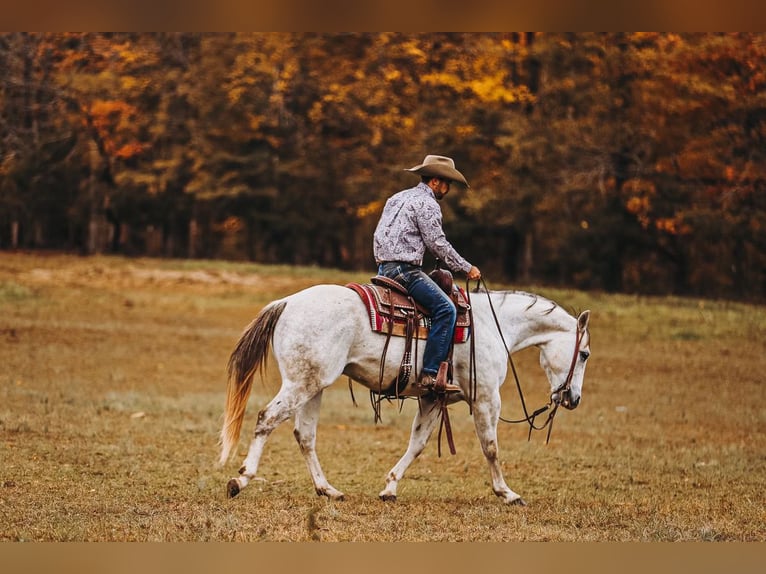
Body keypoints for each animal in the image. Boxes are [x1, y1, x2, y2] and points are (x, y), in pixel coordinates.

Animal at [219, 286, 592, 506]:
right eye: (585, 354)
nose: (573, 398)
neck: (493, 325)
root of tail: (286, 303)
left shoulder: (432, 399)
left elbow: (418, 444)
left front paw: (389, 487)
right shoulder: (486, 398)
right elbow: (491, 447)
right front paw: (507, 493)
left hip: (314, 385)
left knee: (304, 435)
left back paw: (328, 490)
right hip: (301, 384)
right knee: (266, 419)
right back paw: (241, 479)